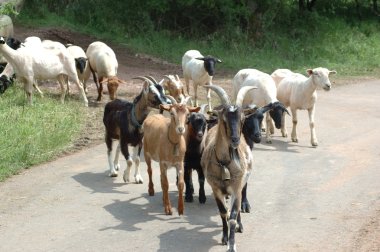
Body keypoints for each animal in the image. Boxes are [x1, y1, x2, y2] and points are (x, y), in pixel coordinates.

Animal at [200, 83, 256, 251]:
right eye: (223, 119)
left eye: (242, 119)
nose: (235, 140)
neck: (224, 163)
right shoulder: (216, 188)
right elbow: (223, 213)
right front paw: (224, 238)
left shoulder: (236, 187)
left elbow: (232, 216)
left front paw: (232, 245)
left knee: (237, 208)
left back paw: (240, 225)